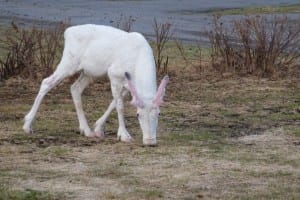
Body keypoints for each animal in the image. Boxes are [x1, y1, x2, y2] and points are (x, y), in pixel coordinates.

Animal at [22, 24, 169, 145]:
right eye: (138, 114)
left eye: (159, 113)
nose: (150, 141)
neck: (138, 61)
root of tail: (67, 32)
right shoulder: (114, 74)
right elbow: (120, 106)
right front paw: (124, 135)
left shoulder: (128, 85)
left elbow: (113, 103)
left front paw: (98, 128)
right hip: (69, 63)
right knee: (46, 82)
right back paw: (27, 126)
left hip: (88, 73)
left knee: (75, 88)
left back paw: (87, 130)